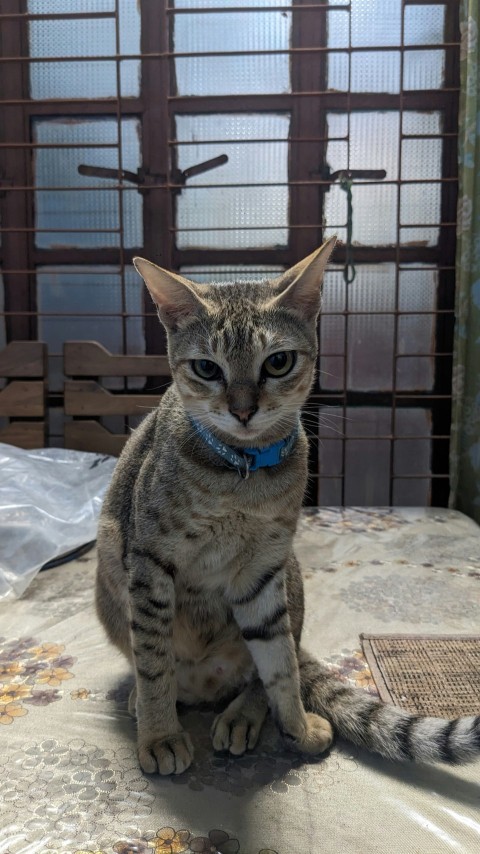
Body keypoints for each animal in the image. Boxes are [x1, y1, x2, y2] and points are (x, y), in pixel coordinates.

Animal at [96, 239, 480, 776]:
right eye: (207, 368)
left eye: (277, 362)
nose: (242, 410)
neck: (241, 474)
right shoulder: (150, 562)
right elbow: (154, 661)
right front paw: (159, 735)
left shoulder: (262, 569)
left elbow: (278, 663)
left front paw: (294, 724)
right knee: (150, 661)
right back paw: (146, 700)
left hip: (290, 575)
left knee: (276, 661)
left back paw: (243, 716)